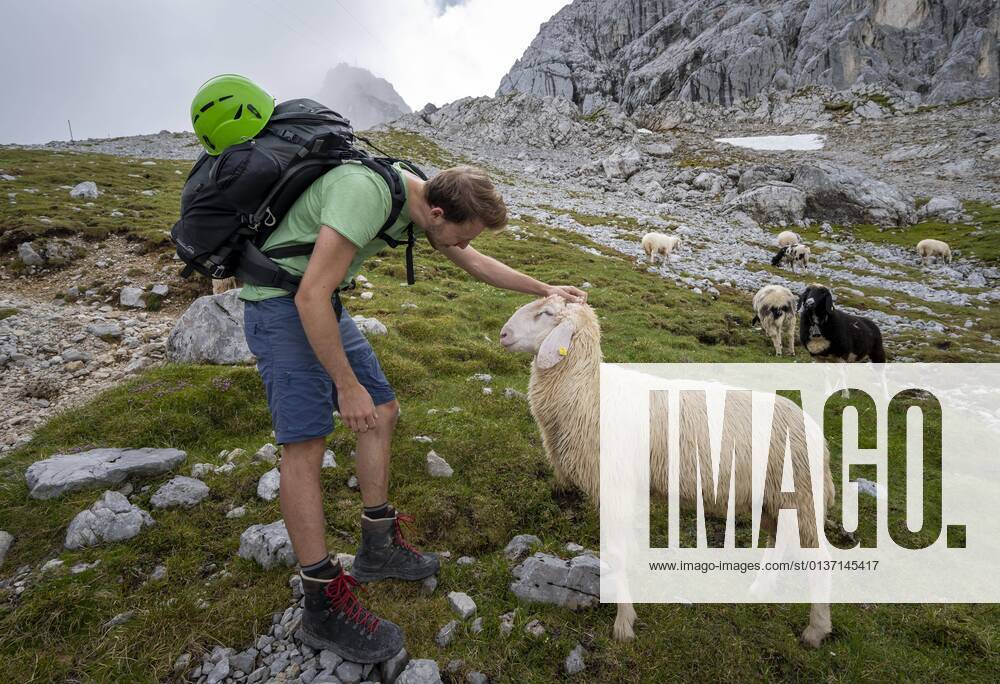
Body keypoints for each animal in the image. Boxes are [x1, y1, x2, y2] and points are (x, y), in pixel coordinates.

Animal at [500, 295, 835, 648]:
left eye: (547, 313)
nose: (503, 334)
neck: (588, 392)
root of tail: (818, 435)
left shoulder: (615, 487)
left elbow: (616, 552)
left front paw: (624, 622)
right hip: (774, 499)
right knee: (779, 542)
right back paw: (761, 589)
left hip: (802, 497)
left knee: (820, 562)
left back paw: (815, 630)